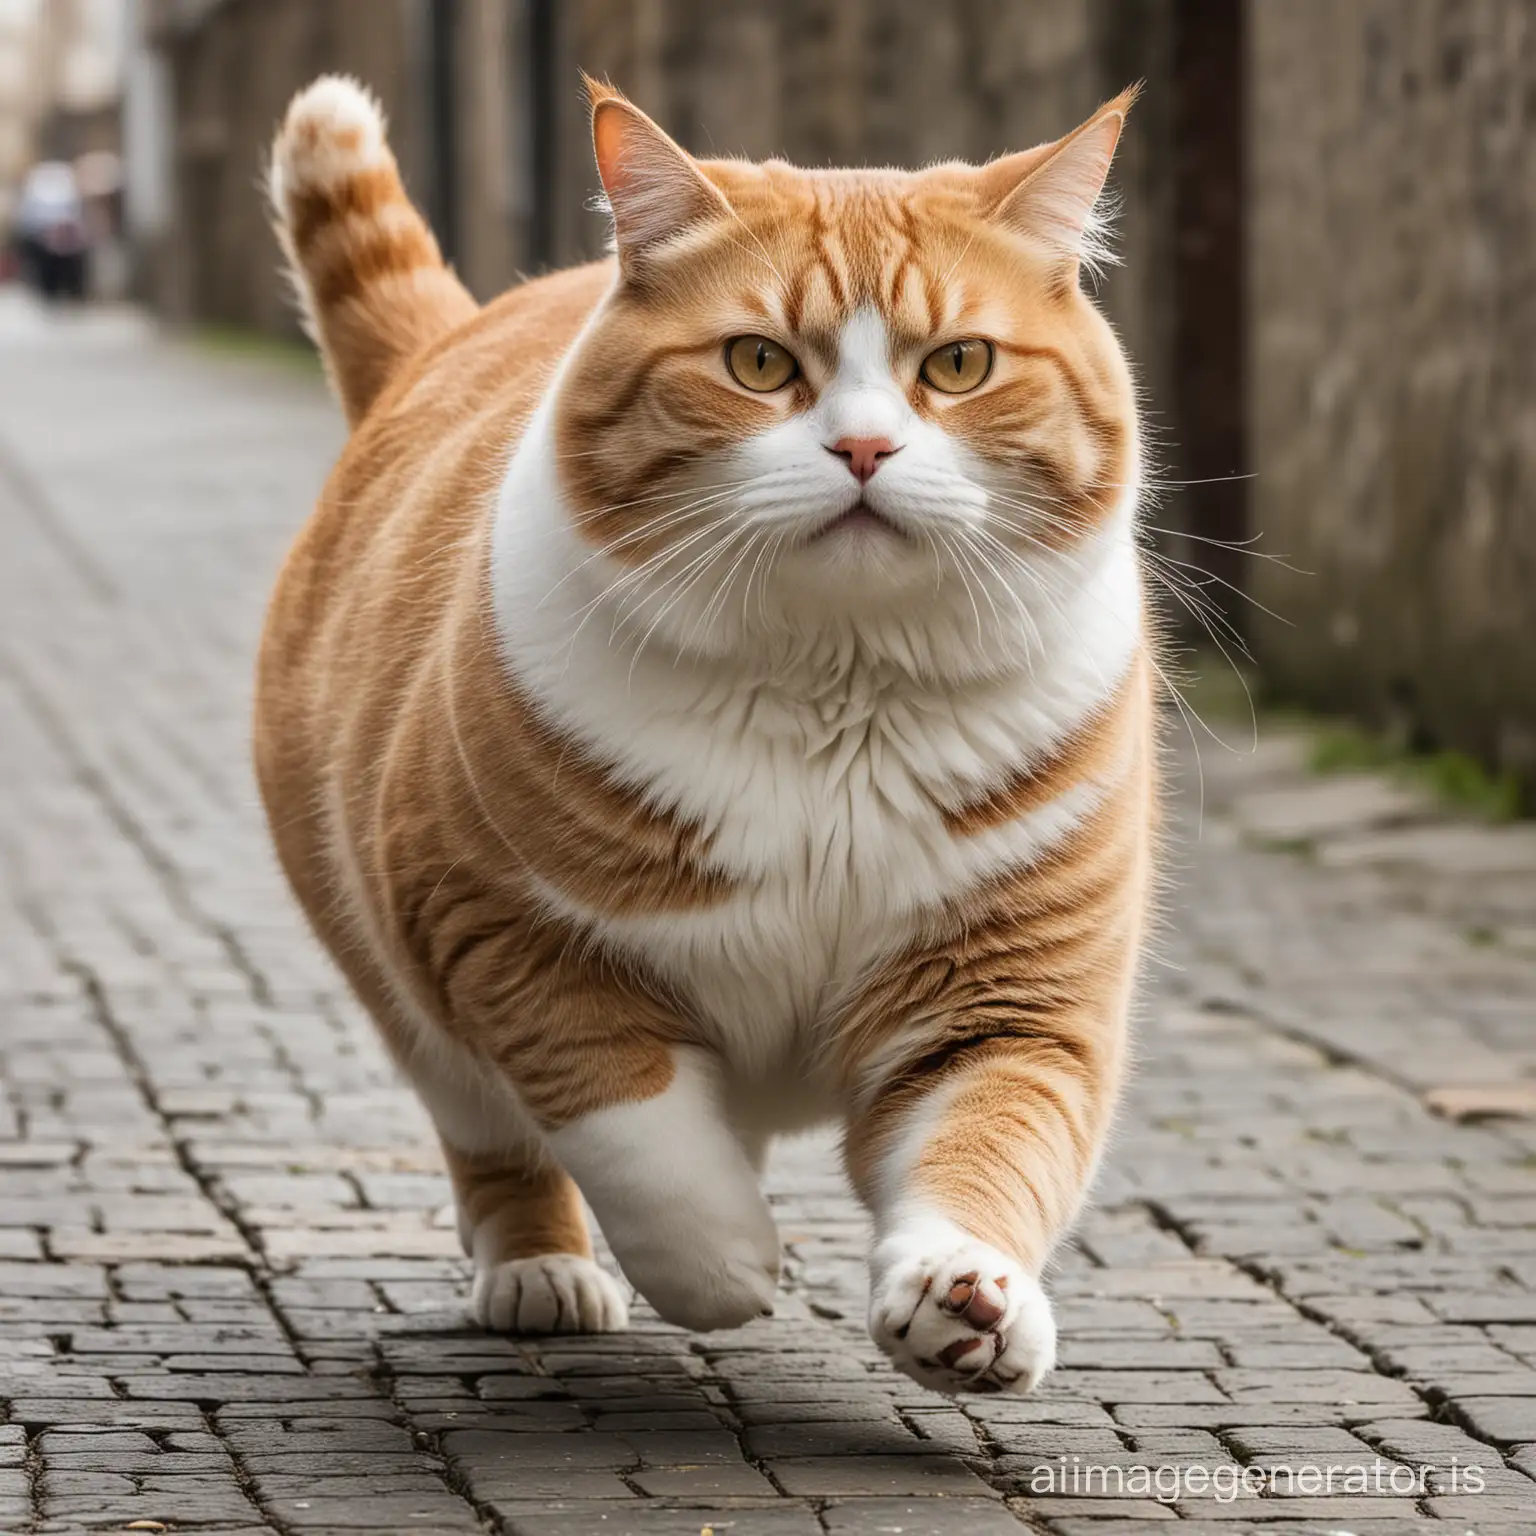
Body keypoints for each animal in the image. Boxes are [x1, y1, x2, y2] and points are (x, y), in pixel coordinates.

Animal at [261, 69, 1155, 1394]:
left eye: (957, 363)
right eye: (757, 361)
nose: (864, 448)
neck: (838, 702)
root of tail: (443, 341)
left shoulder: (1010, 998)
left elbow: (990, 1146)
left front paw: (965, 1297)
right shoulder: (496, 931)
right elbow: (637, 1127)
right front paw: (723, 1264)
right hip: (401, 987)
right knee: (491, 1131)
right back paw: (541, 1271)